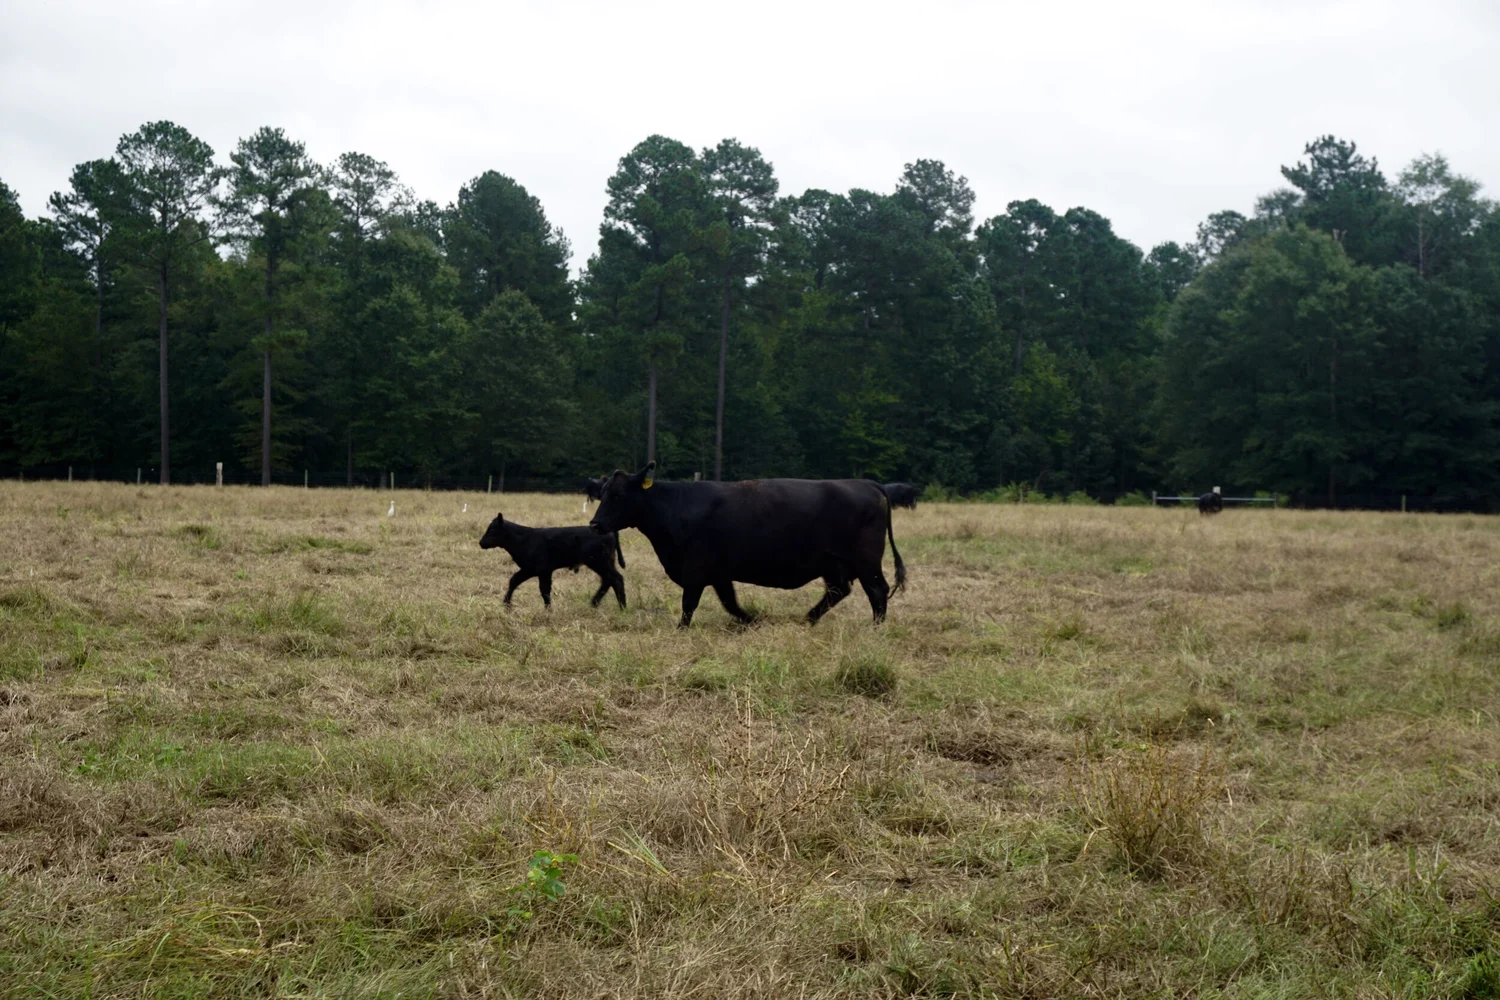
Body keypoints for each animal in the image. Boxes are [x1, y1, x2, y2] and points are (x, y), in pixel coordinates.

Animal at [479, 513, 627, 609]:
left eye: (492, 529)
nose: (481, 543)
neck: (524, 539)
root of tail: (611, 532)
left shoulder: (541, 570)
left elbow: (544, 590)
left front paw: (548, 609)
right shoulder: (530, 570)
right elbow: (514, 581)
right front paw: (506, 604)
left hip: (599, 562)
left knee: (616, 579)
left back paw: (622, 606)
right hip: (605, 563)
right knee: (608, 580)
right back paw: (596, 604)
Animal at [588, 462, 905, 628]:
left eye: (617, 496)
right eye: (601, 493)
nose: (594, 525)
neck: (676, 506)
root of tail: (866, 484)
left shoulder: (696, 570)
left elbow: (689, 604)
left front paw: (681, 628)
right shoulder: (718, 573)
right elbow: (730, 601)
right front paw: (751, 620)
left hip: (866, 561)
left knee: (877, 591)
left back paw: (876, 627)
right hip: (833, 564)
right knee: (839, 590)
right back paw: (808, 618)